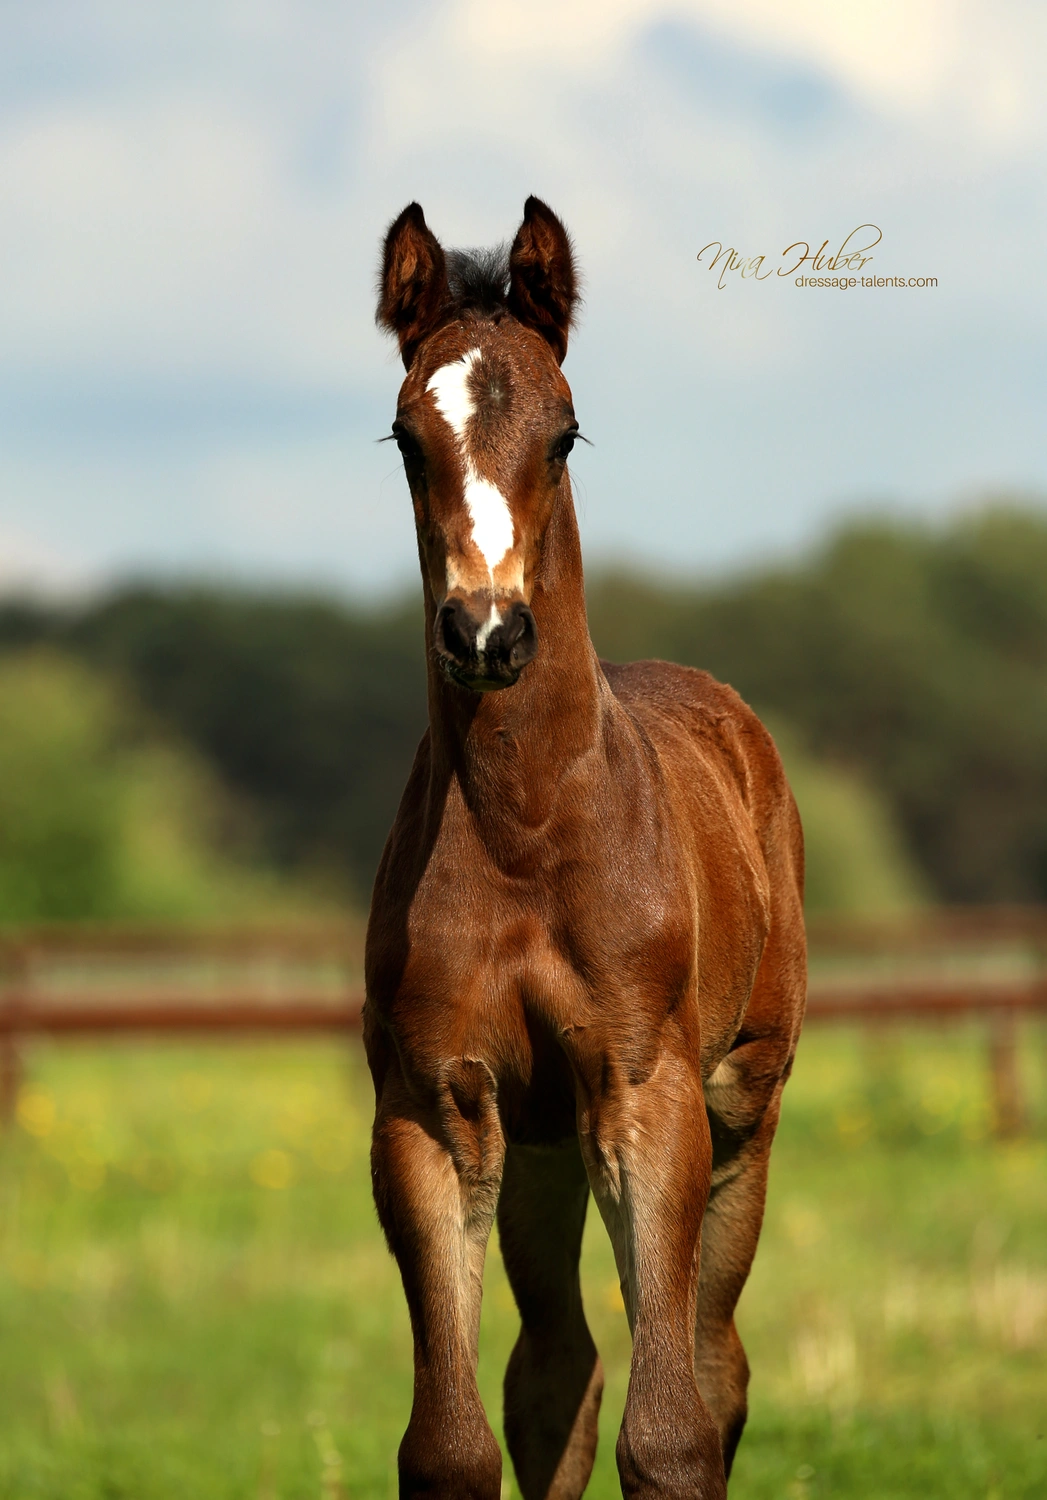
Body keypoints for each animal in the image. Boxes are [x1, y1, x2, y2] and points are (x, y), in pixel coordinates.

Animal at [364, 196, 806, 1500]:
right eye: (406, 438)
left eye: (564, 435)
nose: (488, 632)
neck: (527, 834)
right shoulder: (435, 1109)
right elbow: (454, 1442)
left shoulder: (644, 1093)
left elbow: (671, 1432)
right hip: (542, 1147)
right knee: (557, 1373)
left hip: (744, 1102)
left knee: (712, 1364)